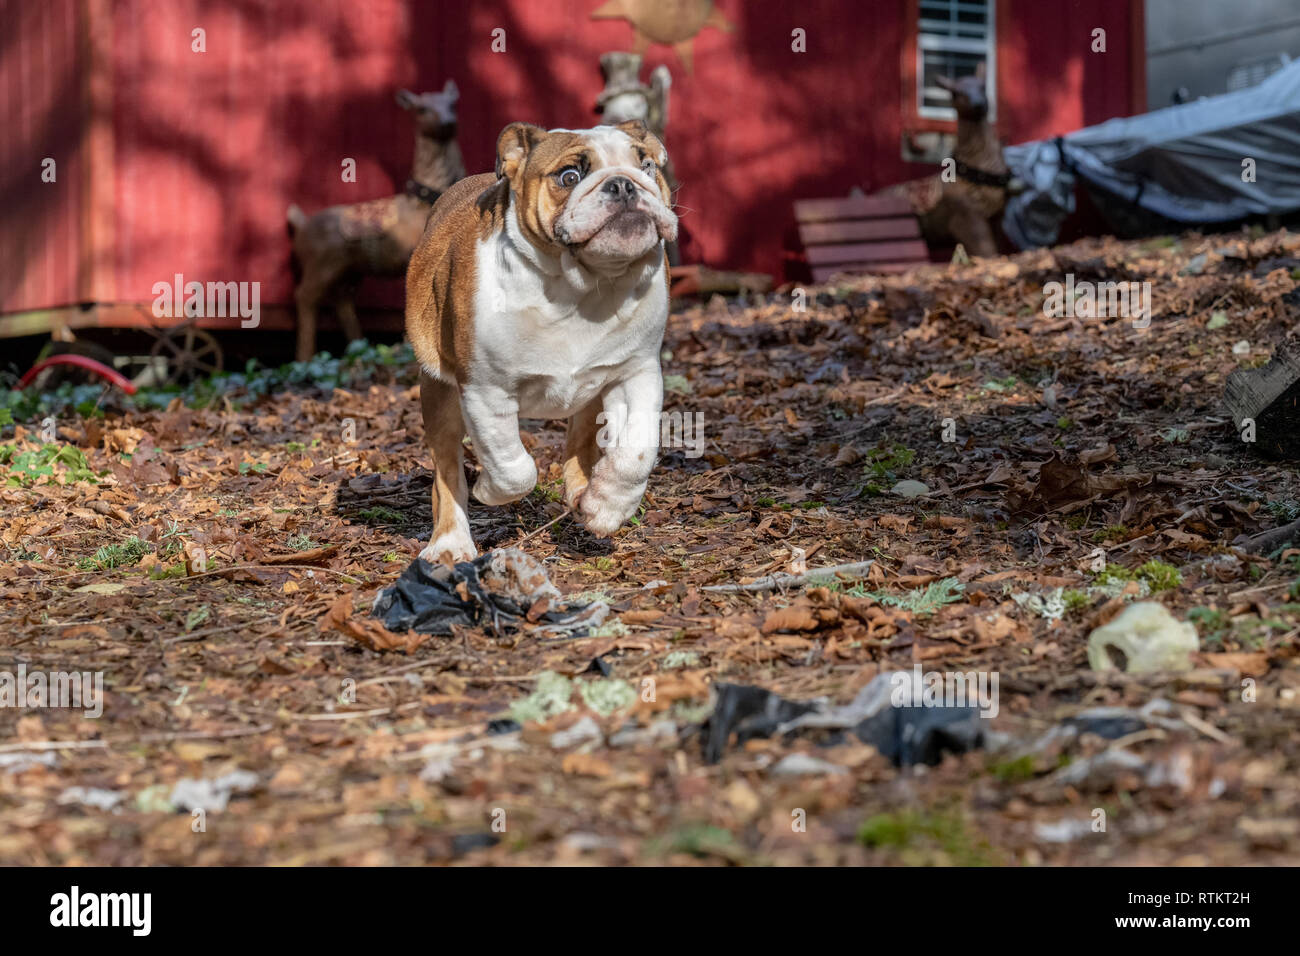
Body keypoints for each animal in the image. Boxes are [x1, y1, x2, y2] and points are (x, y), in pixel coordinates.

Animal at [405, 122, 676, 564]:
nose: (623, 184)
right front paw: (487, 489)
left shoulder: (637, 373)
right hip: (439, 393)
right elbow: (512, 468)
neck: (581, 286)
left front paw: (607, 506)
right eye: (570, 176)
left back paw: (585, 492)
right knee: (447, 472)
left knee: (580, 439)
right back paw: (451, 541)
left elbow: (636, 450)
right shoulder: (485, 391)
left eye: (647, 166)